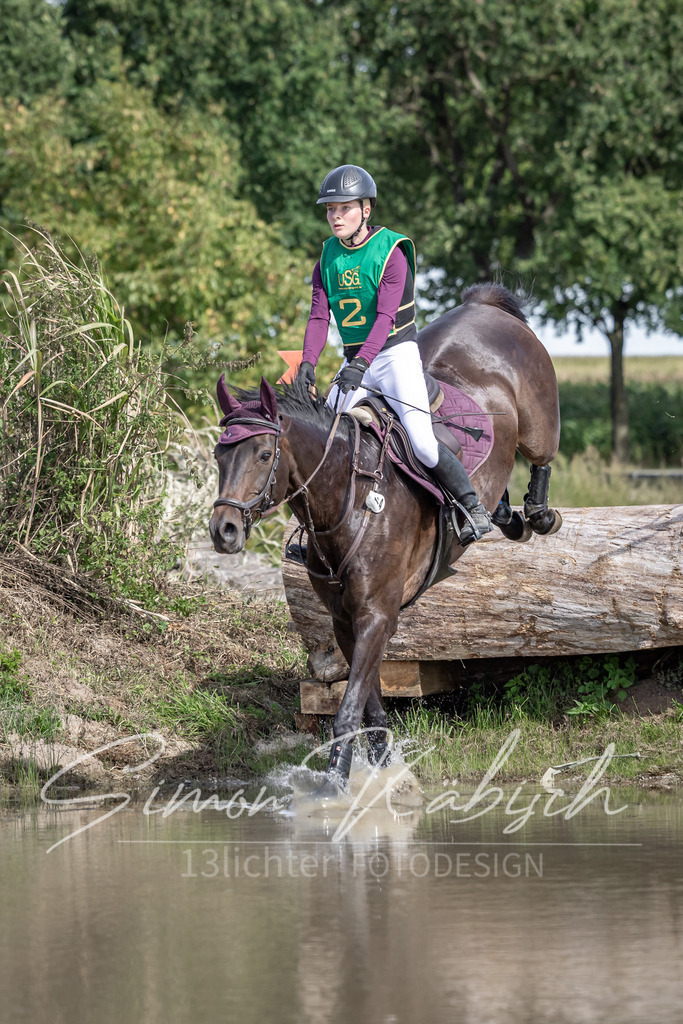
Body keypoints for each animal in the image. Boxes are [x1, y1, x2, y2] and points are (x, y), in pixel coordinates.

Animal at [209, 283, 561, 787]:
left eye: (262, 454)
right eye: (220, 455)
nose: (224, 530)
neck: (348, 499)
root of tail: (483, 305)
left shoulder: (377, 614)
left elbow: (348, 710)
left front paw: (336, 788)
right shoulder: (345, 620)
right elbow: (370, 706)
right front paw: (378, 769)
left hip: (537, 421)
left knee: (542, 458)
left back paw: (533, 514)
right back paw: (501, 515)